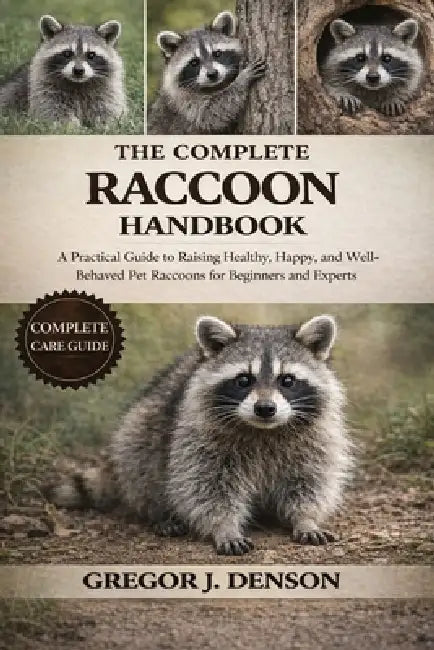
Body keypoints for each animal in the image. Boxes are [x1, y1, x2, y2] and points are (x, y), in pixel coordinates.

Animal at [50, 314, 353, 556]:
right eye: (244, 380)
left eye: (287, 380)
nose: (265, 409)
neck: (262, 430)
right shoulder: (197, 436)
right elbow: (206, 487)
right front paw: (224, 527)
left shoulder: (315, 439)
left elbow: (309, 481)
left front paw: (306, 518)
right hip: (142, 424)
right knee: (141, 458)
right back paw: (157, 511)